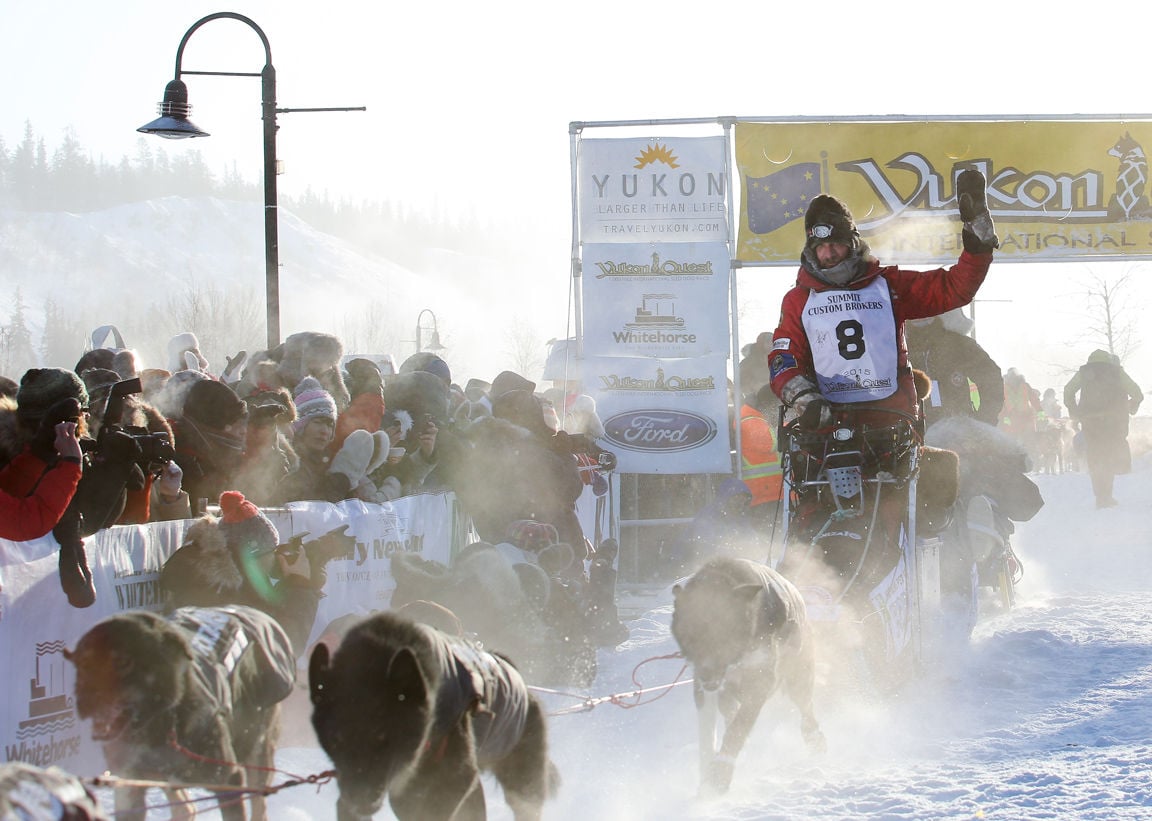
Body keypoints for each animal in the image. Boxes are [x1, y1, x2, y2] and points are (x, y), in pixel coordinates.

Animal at [64, 603, 294, 819]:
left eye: (123, 661)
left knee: (259, 806)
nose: (86, 699)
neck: (158, 725)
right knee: (186, 808)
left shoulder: (229, 780)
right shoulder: (130, 787)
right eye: (83, 663)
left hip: (256, 749)